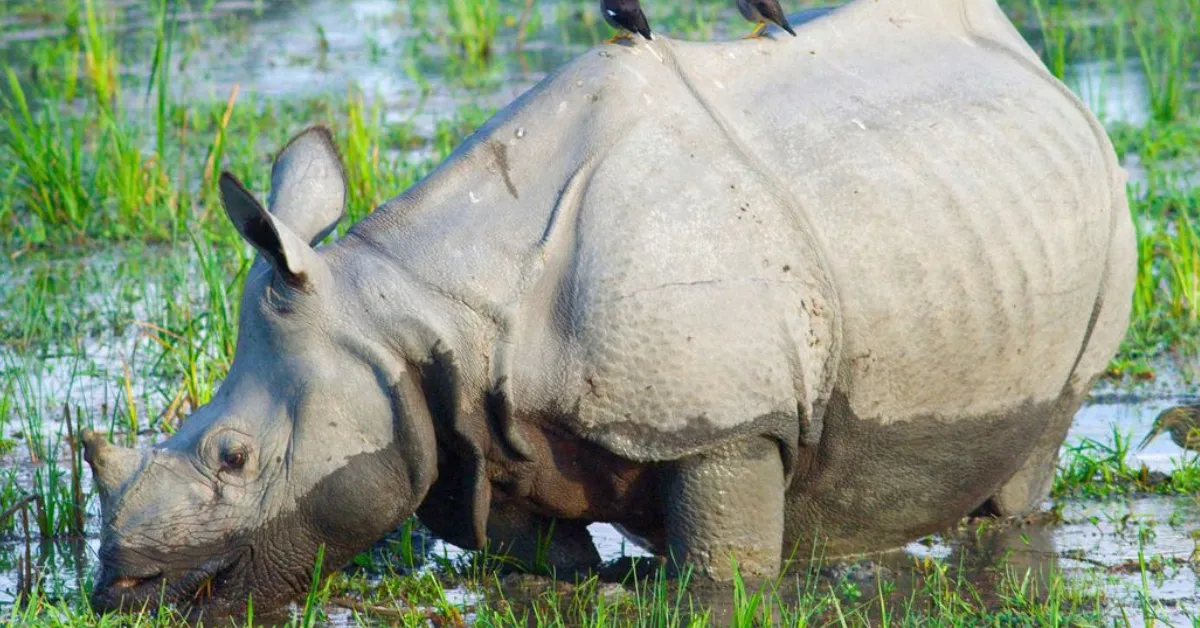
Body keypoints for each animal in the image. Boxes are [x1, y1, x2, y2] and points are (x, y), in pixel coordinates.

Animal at [83, 0, 1135, 614]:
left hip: (1093, 207)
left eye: (234, 457)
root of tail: (1031, 58)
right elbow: (539, 568)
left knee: (1043, 437)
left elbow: (719, 579)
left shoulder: (729, 425)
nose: (121, 589)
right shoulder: (468, 426)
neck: (407, 310)